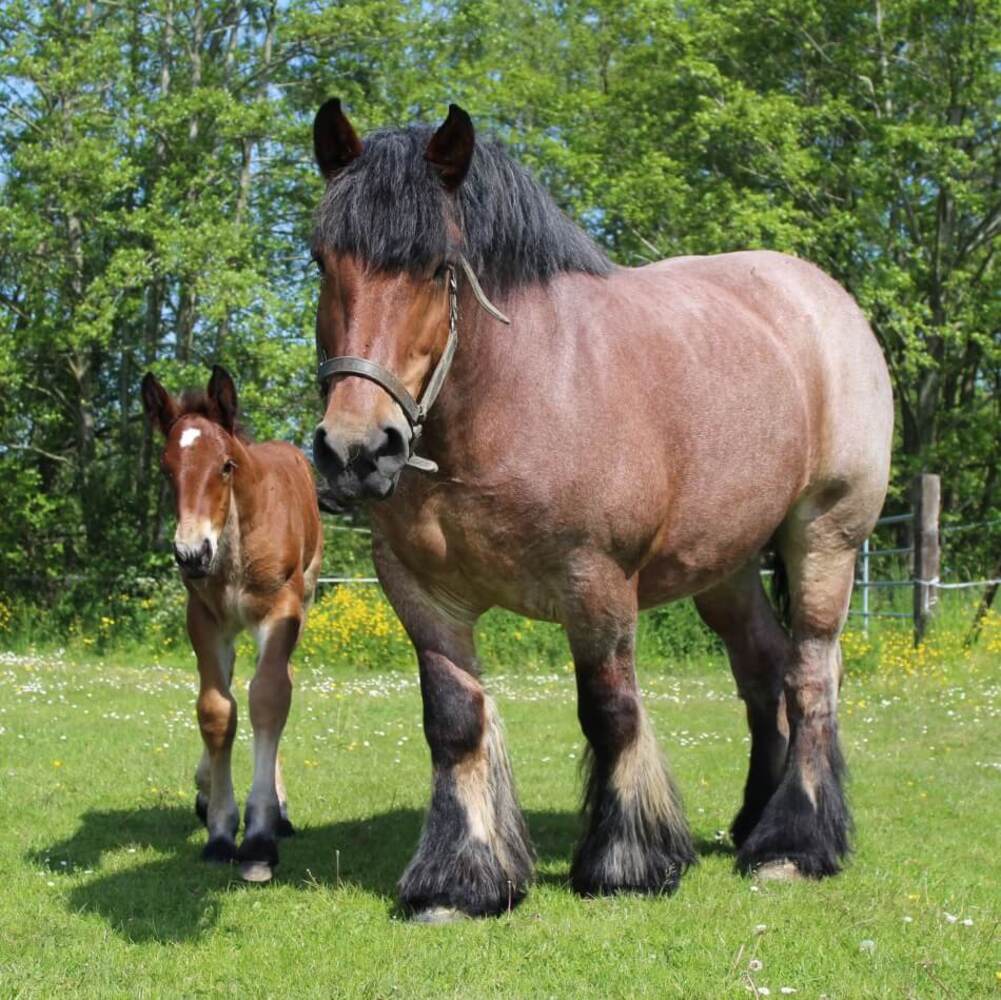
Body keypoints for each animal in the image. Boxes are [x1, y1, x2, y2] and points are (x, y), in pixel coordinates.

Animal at [141, 370, 318, 884]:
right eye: (166, 469)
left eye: (225, 466)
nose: (191, 553)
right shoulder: (203, 618)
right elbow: (216, 710)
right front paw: (220, 831)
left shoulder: (281, 611)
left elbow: (269, 699)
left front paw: (258, 837)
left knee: (277, 682)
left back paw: (280, 811)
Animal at [308, 101, 896, 920]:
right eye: (322, 262)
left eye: (439, 267)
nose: (356, 452)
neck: (518, 395)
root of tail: (825, 300)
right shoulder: (420, 593)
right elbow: (454, 721)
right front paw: (461, 878)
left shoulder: (597, 585)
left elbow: (611, 713)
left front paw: (626, 862)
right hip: (725, 569)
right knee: (763, 670)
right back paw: (755, 819)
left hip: (826, 539)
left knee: (810, 676)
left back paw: (793, 844)